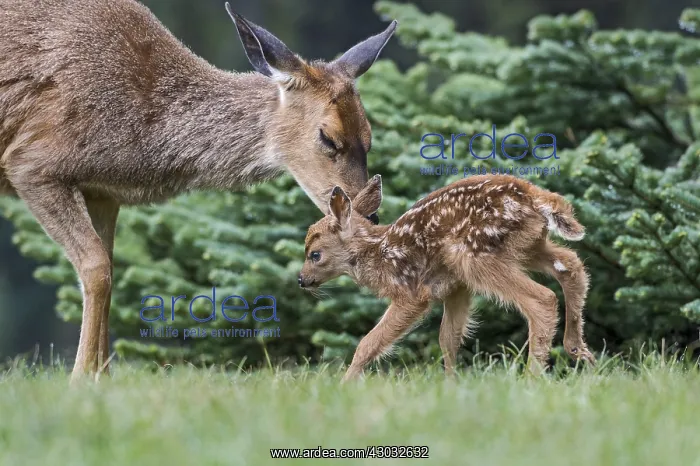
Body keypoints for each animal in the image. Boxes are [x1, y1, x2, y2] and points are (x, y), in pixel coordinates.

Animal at [0, 0, 397, 381]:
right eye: (328, 137)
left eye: (370, 137)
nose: (369, 211)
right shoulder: (31, 163)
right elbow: (96, 269)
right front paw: (81, 379)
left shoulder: (103, 191)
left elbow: (108, 270)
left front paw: (103, 377)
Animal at [299, 174, 596, 382]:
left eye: (315, 254)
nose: (301, 280)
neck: (378, 253)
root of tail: (536, 198)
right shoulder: (456, 288)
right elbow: (448, 338)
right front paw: (452, 384)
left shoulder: (411, 292)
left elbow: (368, 342)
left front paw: (345, 384)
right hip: (528, 245)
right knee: (571, 264)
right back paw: (578, 350)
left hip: (475, 255)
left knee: (542, 298)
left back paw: (532, 377)